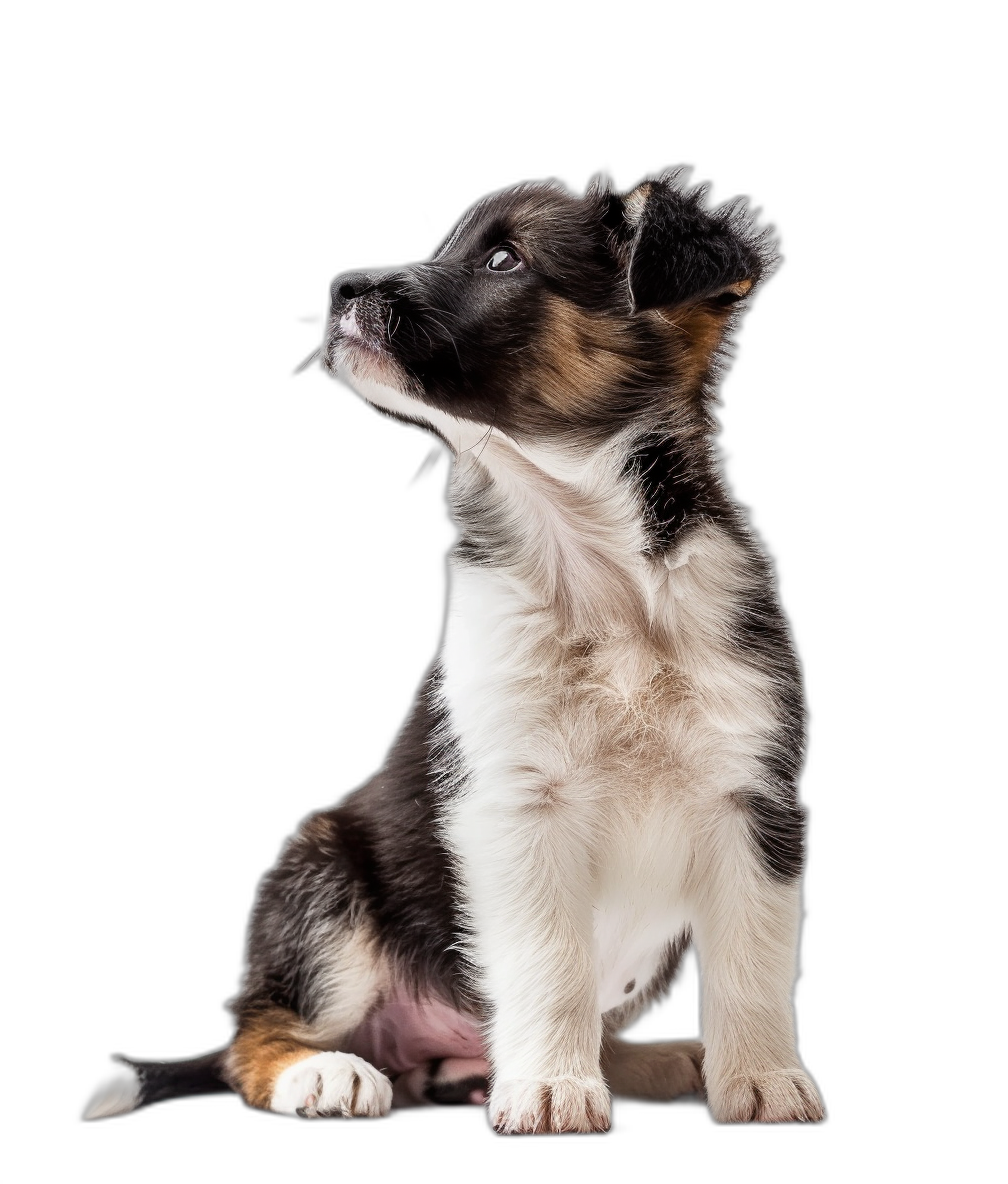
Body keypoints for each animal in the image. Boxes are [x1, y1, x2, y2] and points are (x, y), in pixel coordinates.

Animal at [84, 171, 829, 1131]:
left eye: (504, 259)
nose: (340, 291)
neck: (597, 571)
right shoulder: (514, 801)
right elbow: (551, 960)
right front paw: (549, 1088)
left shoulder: (754, 793)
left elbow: (752, 964)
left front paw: (764, 1079)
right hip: (323, 885)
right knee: (254, 1030)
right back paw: (324, 1074)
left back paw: (642, 1062)